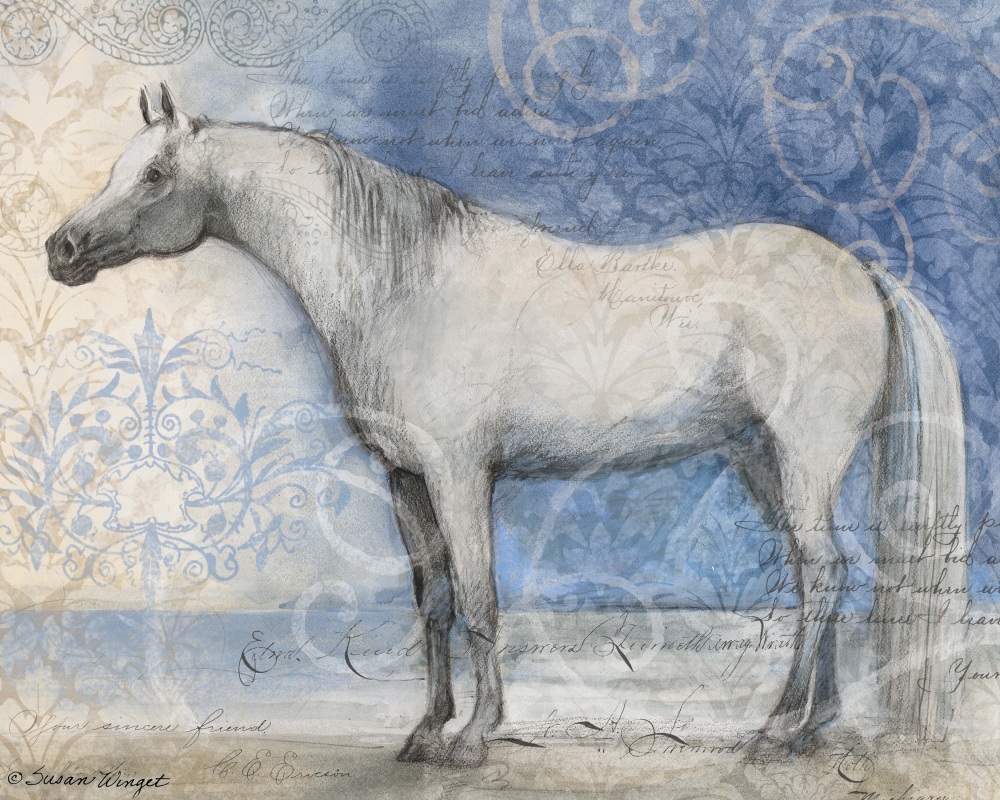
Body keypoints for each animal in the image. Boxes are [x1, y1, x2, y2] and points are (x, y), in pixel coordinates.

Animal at [46, 85, 967, 767]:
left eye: (155, 173)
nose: (62, 249)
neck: (399, 283)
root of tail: (862, 271)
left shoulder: (461, 474)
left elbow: (482, 600)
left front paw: (474, 737)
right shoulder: (407, 478)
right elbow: (435, 603)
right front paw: (425, 731)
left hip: (805, 457)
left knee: (823, 574)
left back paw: (778, 729)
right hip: (763, 461)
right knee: (825, 575)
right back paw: (815, 726)